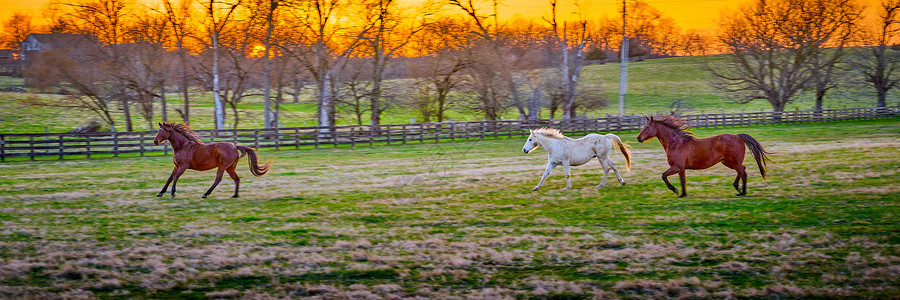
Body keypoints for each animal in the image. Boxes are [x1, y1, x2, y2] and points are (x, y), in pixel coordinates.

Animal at [636, 115, 768, 197]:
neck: (676, 143)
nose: (638, 138)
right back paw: (737, 188)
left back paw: (742, 192)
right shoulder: (681, 169)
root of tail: (738, 136)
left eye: (648, 127)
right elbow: (683, 180)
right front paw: (683, 194)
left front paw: (675, 190)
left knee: (743, 173)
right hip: (727, 162)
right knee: (742, 170)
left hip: (733, 162)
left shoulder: (677, 167)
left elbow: (664, 176)